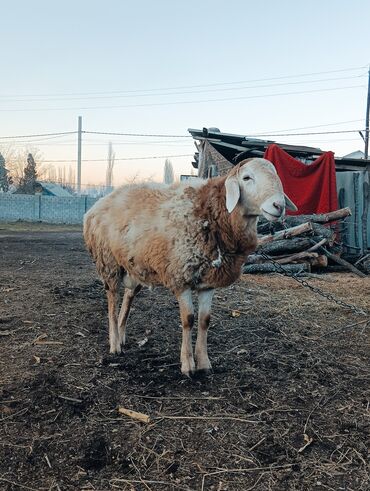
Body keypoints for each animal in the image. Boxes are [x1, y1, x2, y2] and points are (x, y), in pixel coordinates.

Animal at [84, 158, 298, 376]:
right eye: (247, 178)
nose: (278, 205)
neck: (211, 213)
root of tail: (101, 202)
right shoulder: (181, 278)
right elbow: (188, 319)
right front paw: (187, 364)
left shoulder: (208, 282)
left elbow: (205, 320)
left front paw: (204, 362)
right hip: (109, 263)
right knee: (112, 302)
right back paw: (114, 344)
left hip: (135, 266)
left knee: (127, 298)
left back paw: (121, 335)